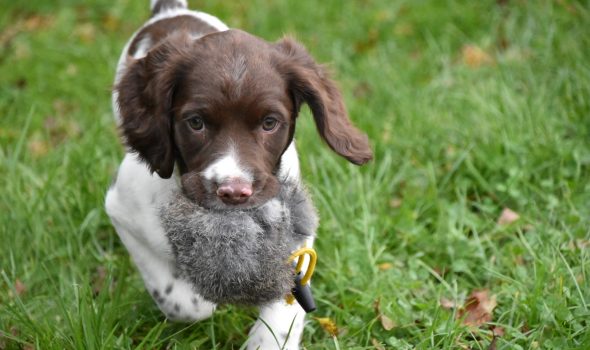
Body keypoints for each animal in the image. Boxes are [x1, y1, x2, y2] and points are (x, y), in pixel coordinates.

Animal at [105, 0, 374, 348]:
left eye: (270, 122)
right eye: (195, 122)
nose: (234, 193)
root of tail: (170, 11)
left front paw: (267, 339)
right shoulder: (124, 212)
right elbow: (183, 301)